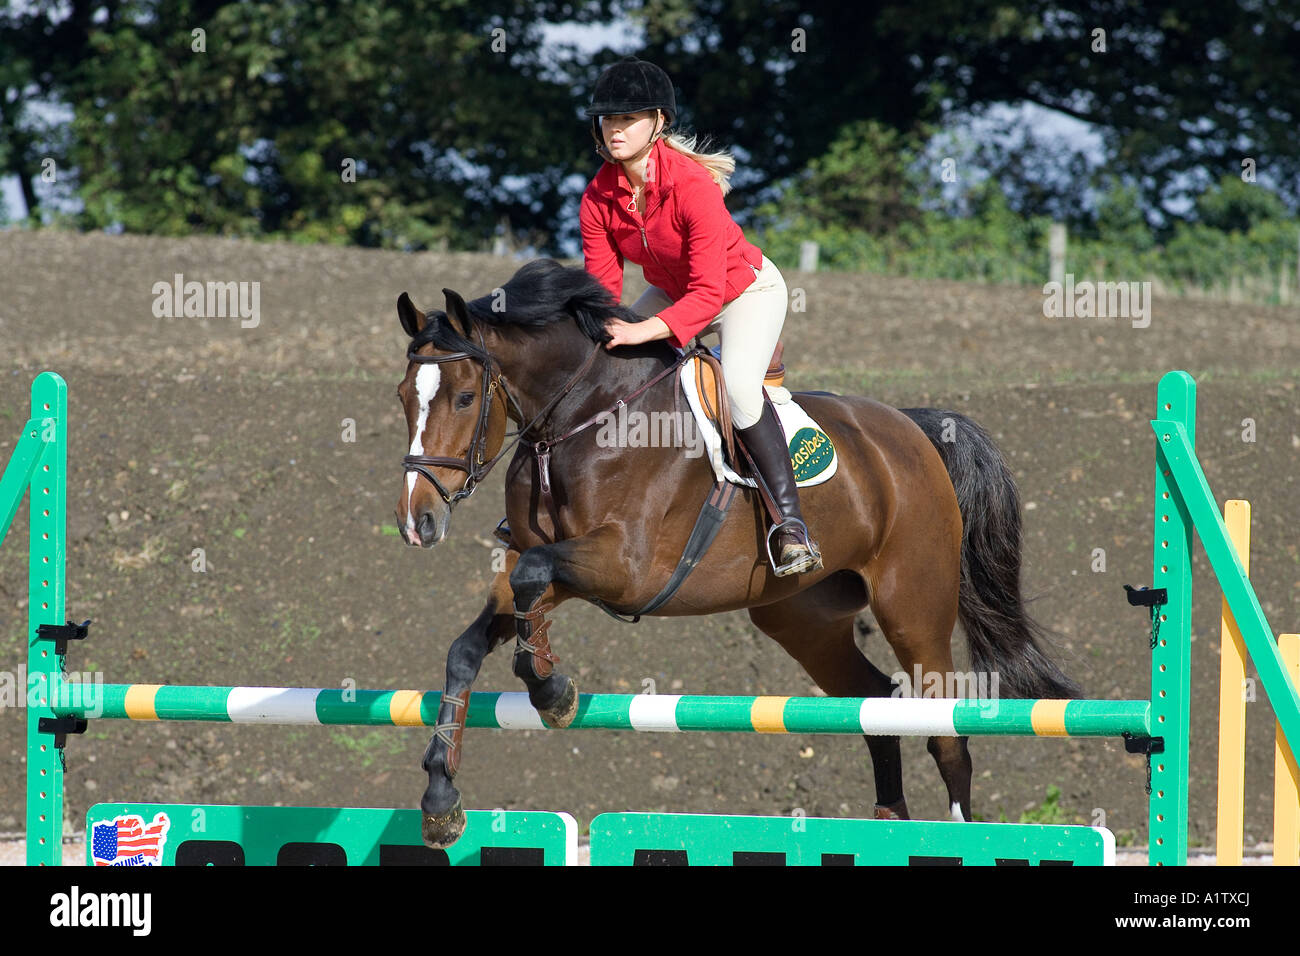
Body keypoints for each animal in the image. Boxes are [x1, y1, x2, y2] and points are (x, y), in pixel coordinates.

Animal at [392, 257, 1076, 848]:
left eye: (463, 398)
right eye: (403, 396)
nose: (416, 522)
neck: (583, 420)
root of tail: (912, 430)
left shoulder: (626, 568)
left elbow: (535, 579)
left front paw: (551, 691)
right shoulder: (550, 567)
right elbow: (472, 642)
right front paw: (441, 799)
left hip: (913, 608)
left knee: (946, 733)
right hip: (801, 619)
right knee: (875, 704)